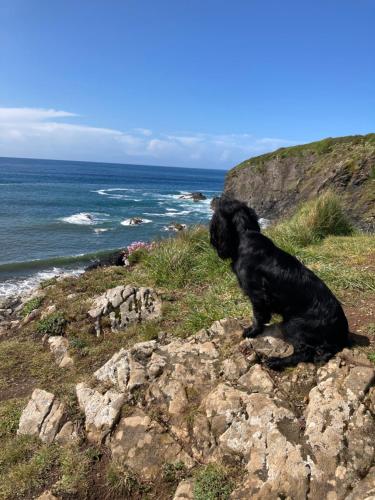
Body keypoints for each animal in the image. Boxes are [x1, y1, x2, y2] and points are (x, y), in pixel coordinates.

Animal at [210, 197, 352, 370]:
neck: (246, 234)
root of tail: (342, 329)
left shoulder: (257, 294)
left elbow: (258, 316)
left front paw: (252, 331)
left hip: (292, 325)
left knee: (305, 353)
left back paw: (276, 361)